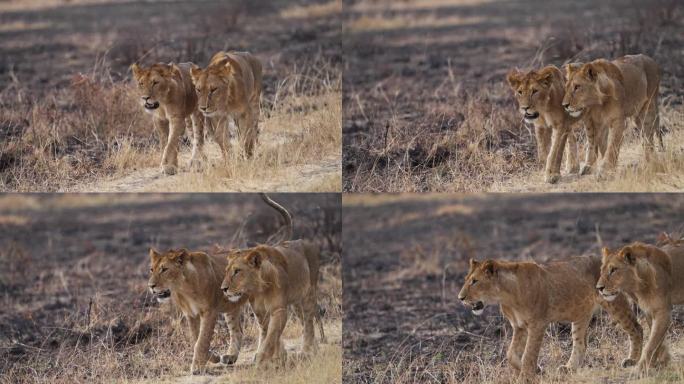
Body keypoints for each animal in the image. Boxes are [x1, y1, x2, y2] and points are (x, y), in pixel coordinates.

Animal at [220, 195, 324, 366]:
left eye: (237, 271)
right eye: (227, 271)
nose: (223, 288)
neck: (259, 289)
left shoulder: (278, 310)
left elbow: (271, 336)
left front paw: (263, 357)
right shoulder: (261, 312)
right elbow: (267, 333)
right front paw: (276, 356)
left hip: (309, 293)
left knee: (309, 321)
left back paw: (307, 350)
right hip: (295, 301)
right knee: (302, 321)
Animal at [456, 255, 644, 380]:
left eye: (474, 281)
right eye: (466, 279)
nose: (460, 298)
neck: (506, 295)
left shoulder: (537, 324)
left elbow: (528, 354)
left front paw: (526, 376)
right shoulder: (519, 326)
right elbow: (511, 354)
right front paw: (538, 370)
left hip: (614, 302)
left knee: (636, 328)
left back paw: (632, 361)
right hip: (580, 314)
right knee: (581, 344)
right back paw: (568, 368)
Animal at [600, 242, 684, 374]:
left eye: (613, 270)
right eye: (602, 271)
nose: (599, 288)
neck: (637, 287)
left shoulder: (663, 311)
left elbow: (652, 342)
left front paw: (640, 368)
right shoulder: (649, 311)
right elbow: (658, 340)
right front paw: (661, 362)